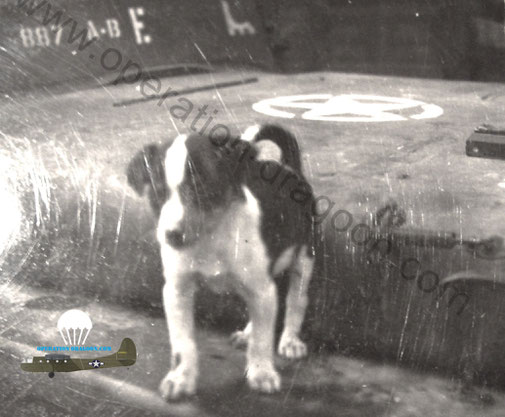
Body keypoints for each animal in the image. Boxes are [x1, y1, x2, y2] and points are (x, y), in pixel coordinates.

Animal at [126, 124, 314, 400]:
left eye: (203, 190)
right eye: (158, 194)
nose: (172, 235)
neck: (211, 237)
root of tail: (289, 167)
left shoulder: (261, 288)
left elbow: (263, 340)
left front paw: (261, 373)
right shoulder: (177, 290)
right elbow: (183, 343)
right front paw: (181, 377)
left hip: (304, 259)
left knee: (294, 302)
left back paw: (289, 341)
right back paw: (247, 333)